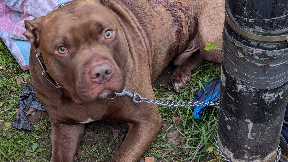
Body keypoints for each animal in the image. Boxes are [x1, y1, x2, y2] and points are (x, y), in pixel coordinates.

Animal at [23, 0, 225, 161]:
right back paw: (181, 74)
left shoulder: (147, 121)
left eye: (107, 33)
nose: (101, 72)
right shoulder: (65, 126)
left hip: (210, 37)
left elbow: (121, 157)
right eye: (62, 49)